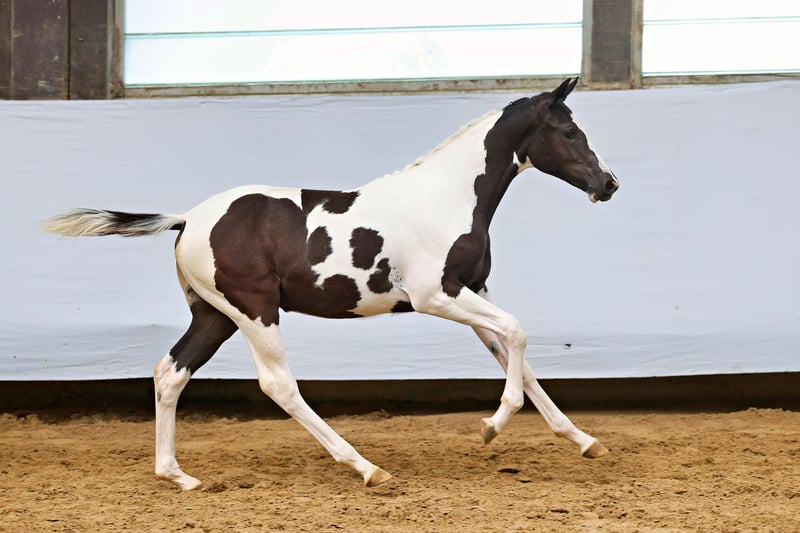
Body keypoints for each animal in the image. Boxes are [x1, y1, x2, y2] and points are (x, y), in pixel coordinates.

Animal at [42, 77, 619, 490]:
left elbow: (514, 355)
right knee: (278, 385)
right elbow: (517, 335)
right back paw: (366, 467)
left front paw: (584, 440)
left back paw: (177, 475)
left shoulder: (473, 291)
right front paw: (492, 426)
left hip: (214, 317)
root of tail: (187, 219)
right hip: (254, 310)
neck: (448, 197)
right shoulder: (437, 296)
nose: (608, 184)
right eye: (570, 132)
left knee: (170, 373)